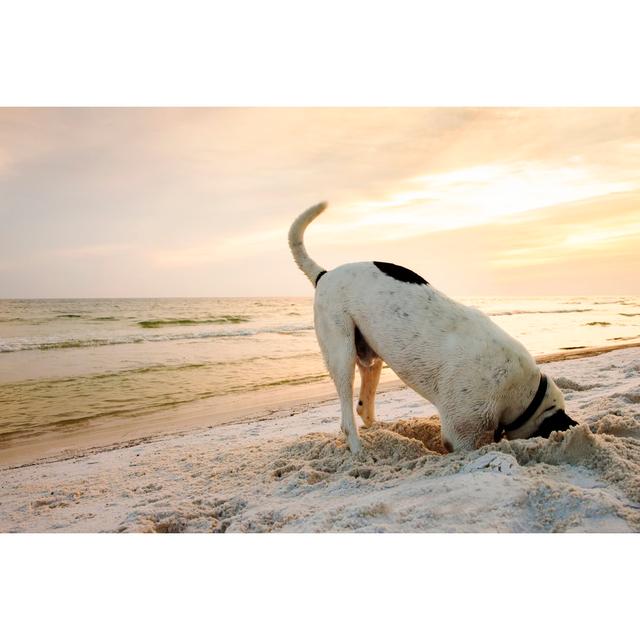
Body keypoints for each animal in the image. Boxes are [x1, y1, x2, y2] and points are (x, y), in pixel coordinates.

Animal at [288, 201, 576, 456]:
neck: (522, 391)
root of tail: (325, 275)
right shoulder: (461, 432)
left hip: (370, 357)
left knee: (364, 406)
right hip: (341, 352)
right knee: (347, 416)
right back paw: (359, 450)